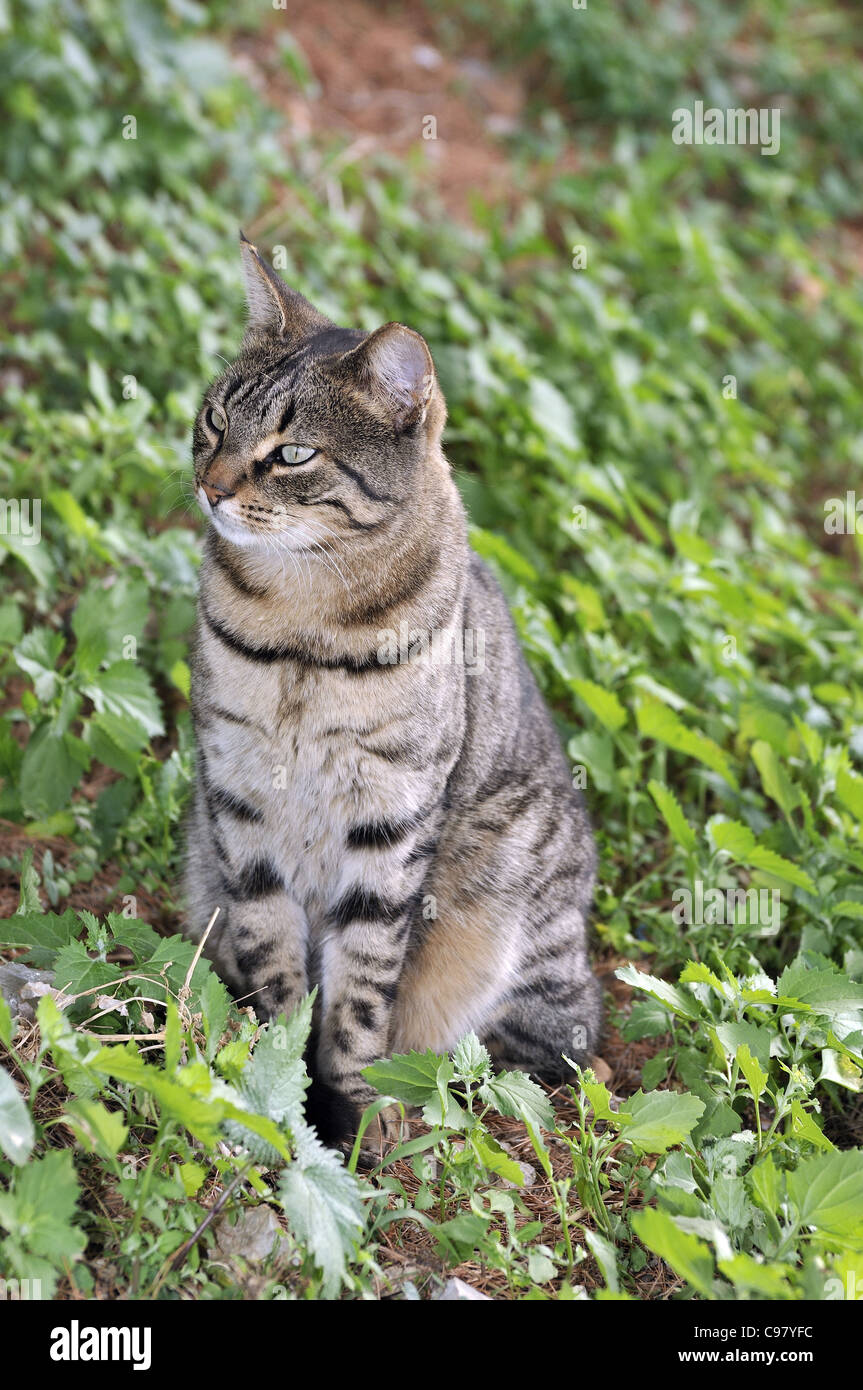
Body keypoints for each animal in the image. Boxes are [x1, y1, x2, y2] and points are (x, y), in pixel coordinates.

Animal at [183, 230, 600, 1139]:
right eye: (215, 420)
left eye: (291, 453)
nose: (211, 486)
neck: (300, 624)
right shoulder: (239, 797)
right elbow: (277, 970)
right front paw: (280, 1083)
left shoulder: (390, 816)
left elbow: (359, 994)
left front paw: (349, 1111)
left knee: (547, 1049)